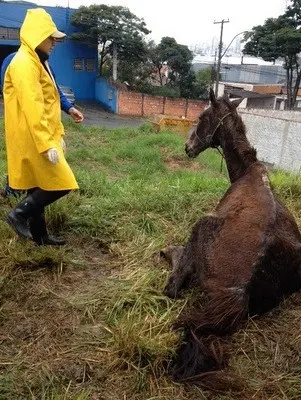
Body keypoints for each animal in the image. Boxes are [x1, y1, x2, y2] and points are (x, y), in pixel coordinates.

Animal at [162, 89, 300, 390]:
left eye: (202, 117)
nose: (188, 147)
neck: (248, 172)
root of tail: (239, 292)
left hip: (202, 224)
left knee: (173, 287)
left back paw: (169, 252)